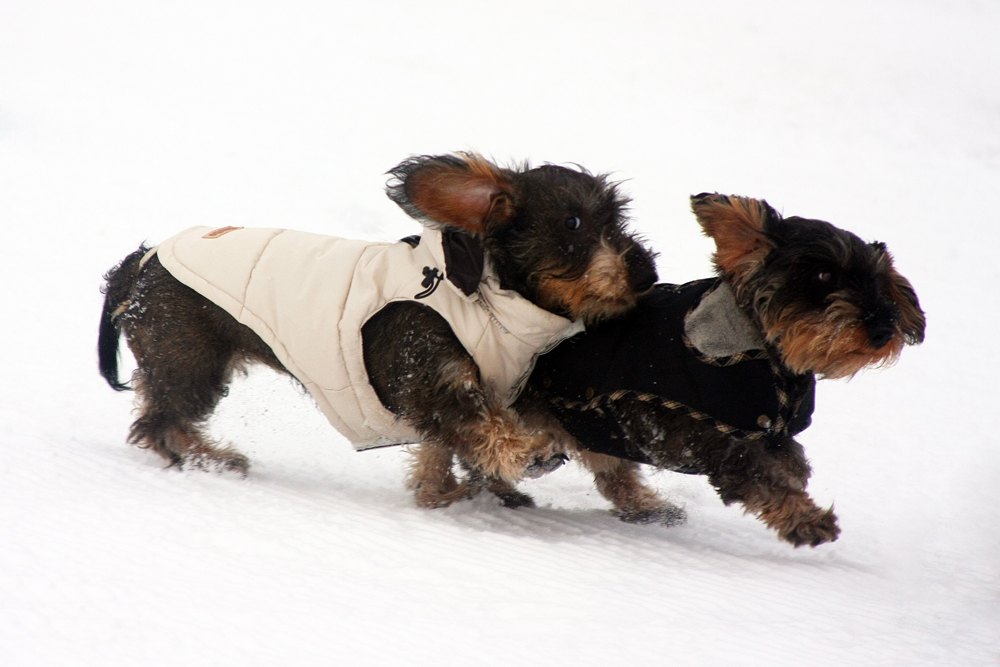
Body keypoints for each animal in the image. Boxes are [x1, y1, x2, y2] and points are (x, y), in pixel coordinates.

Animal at [97, 151, 660, 506]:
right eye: (573, 224)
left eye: (619, 219)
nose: (647, 272)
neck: (484, 300)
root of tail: (142, 263)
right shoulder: (437, 381)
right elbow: (485, 430)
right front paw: (527, 457)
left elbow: (445, 451)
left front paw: (446, 492)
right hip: (189, 360)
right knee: (160, 424)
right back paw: (215, 461)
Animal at [516, 193, 928, 548]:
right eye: (824, 276)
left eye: (878, 279)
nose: (883, 329)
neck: (766, 354)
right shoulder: (727, 447)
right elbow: (767, 482)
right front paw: (807, 520)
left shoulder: (773, 434)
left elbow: (791, 464)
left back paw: (646, 507)